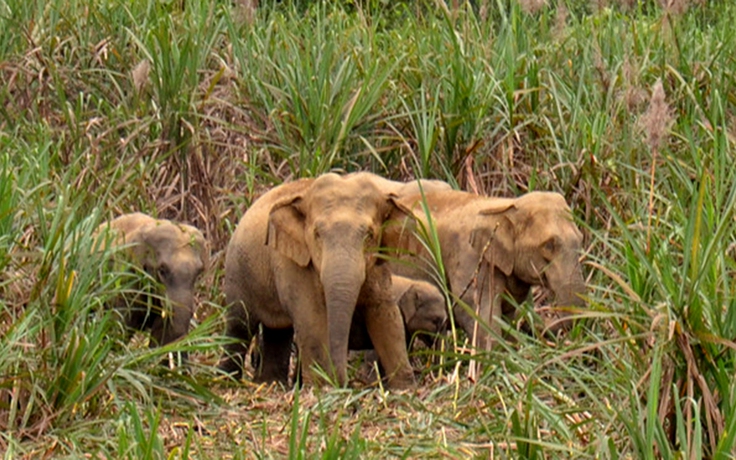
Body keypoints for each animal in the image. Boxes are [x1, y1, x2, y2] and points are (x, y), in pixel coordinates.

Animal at [218, 172, 416, 388]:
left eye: (370, 235)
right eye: (317, 234)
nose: (344, 382)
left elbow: (384, 312)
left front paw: (404, 387)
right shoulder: (292, 261)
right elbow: (311, 315)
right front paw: (322, 386)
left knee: (278, 331)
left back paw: (271, 383)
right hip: (237, 272)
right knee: (239, 326)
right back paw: (224, 379)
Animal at [386, 190, 588, 348]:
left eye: (580, 239)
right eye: (549, 246)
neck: (504, 206)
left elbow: (506, 312)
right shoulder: (470, 257)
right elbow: (475, 311)